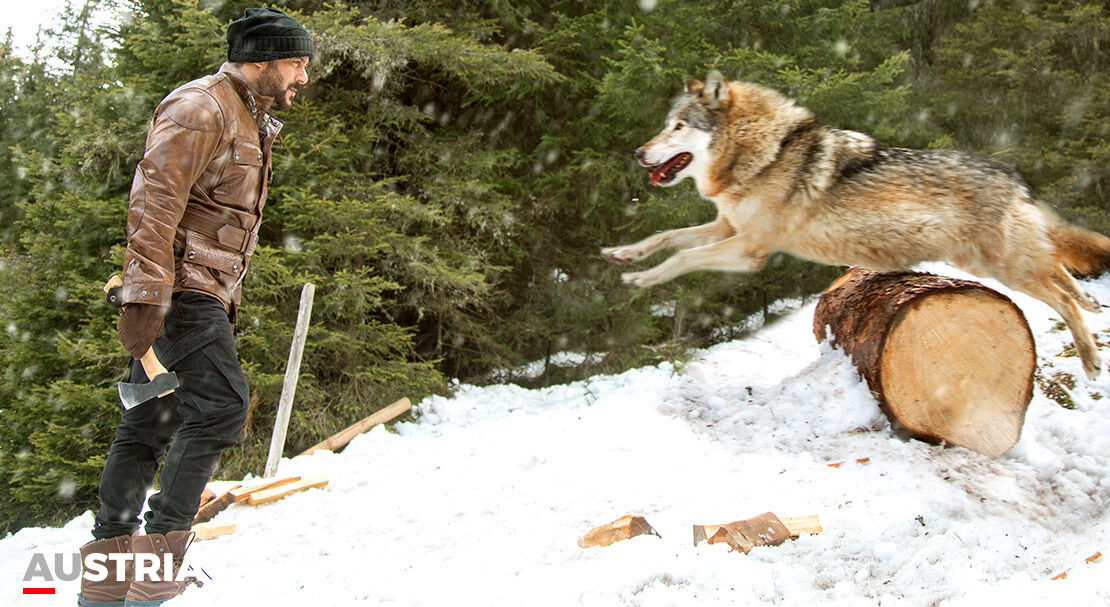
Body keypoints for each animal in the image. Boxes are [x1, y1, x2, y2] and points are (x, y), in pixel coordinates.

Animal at [603, 73, 1110, 379]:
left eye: (678, 127)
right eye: (665, 124)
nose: (637, 152)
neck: (762, 155)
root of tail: (1013, 175)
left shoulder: (750, 251)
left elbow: (683, 256)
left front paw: (641, 280)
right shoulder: (727, 227)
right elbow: (666, 237)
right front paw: (623, 255)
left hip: (1000, 268)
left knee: (1064, 298)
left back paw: (1089, 359)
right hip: (998, 264)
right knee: (1062, 273)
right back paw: (1094, 306)